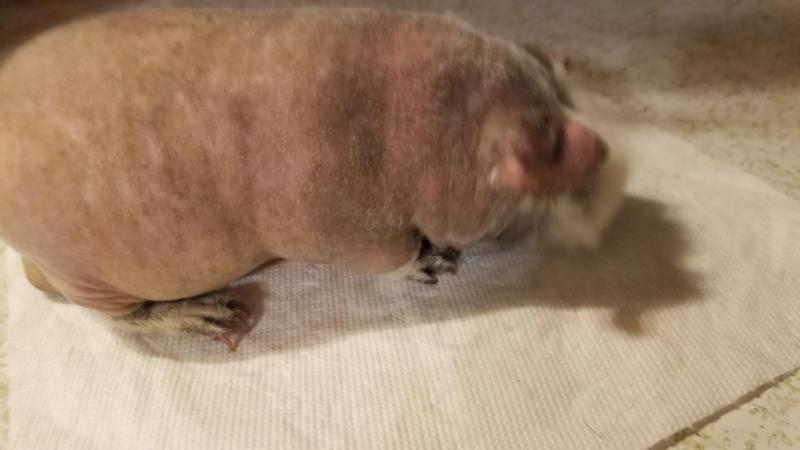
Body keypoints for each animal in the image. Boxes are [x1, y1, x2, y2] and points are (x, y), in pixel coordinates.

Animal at [0, 7, 625, 349]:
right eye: (545, 173)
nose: (602, 155)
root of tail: (30, 265)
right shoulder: (340, 229)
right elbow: (388, 259)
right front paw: (436, 266)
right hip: (87, 276)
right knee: (121, 321)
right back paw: (216, 316)